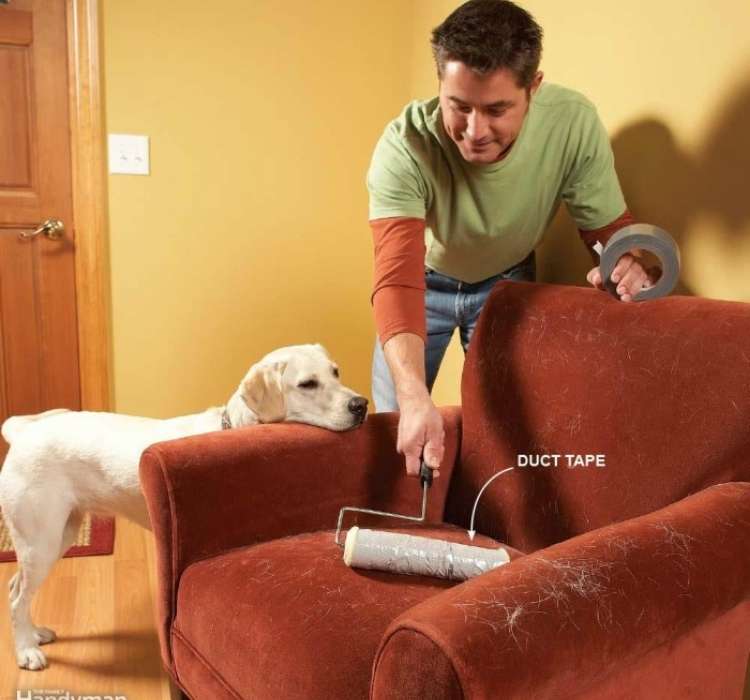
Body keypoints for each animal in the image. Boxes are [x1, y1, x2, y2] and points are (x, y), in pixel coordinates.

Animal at [0, 342, 368, 668]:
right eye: (308, 384)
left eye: (336, 372)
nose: (361, 404)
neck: (234, 428)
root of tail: (23, 432)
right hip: (41, 542)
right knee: (17, 598)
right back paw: (26, 652)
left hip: (61, 535)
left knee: (16, 587)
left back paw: (34, 635)